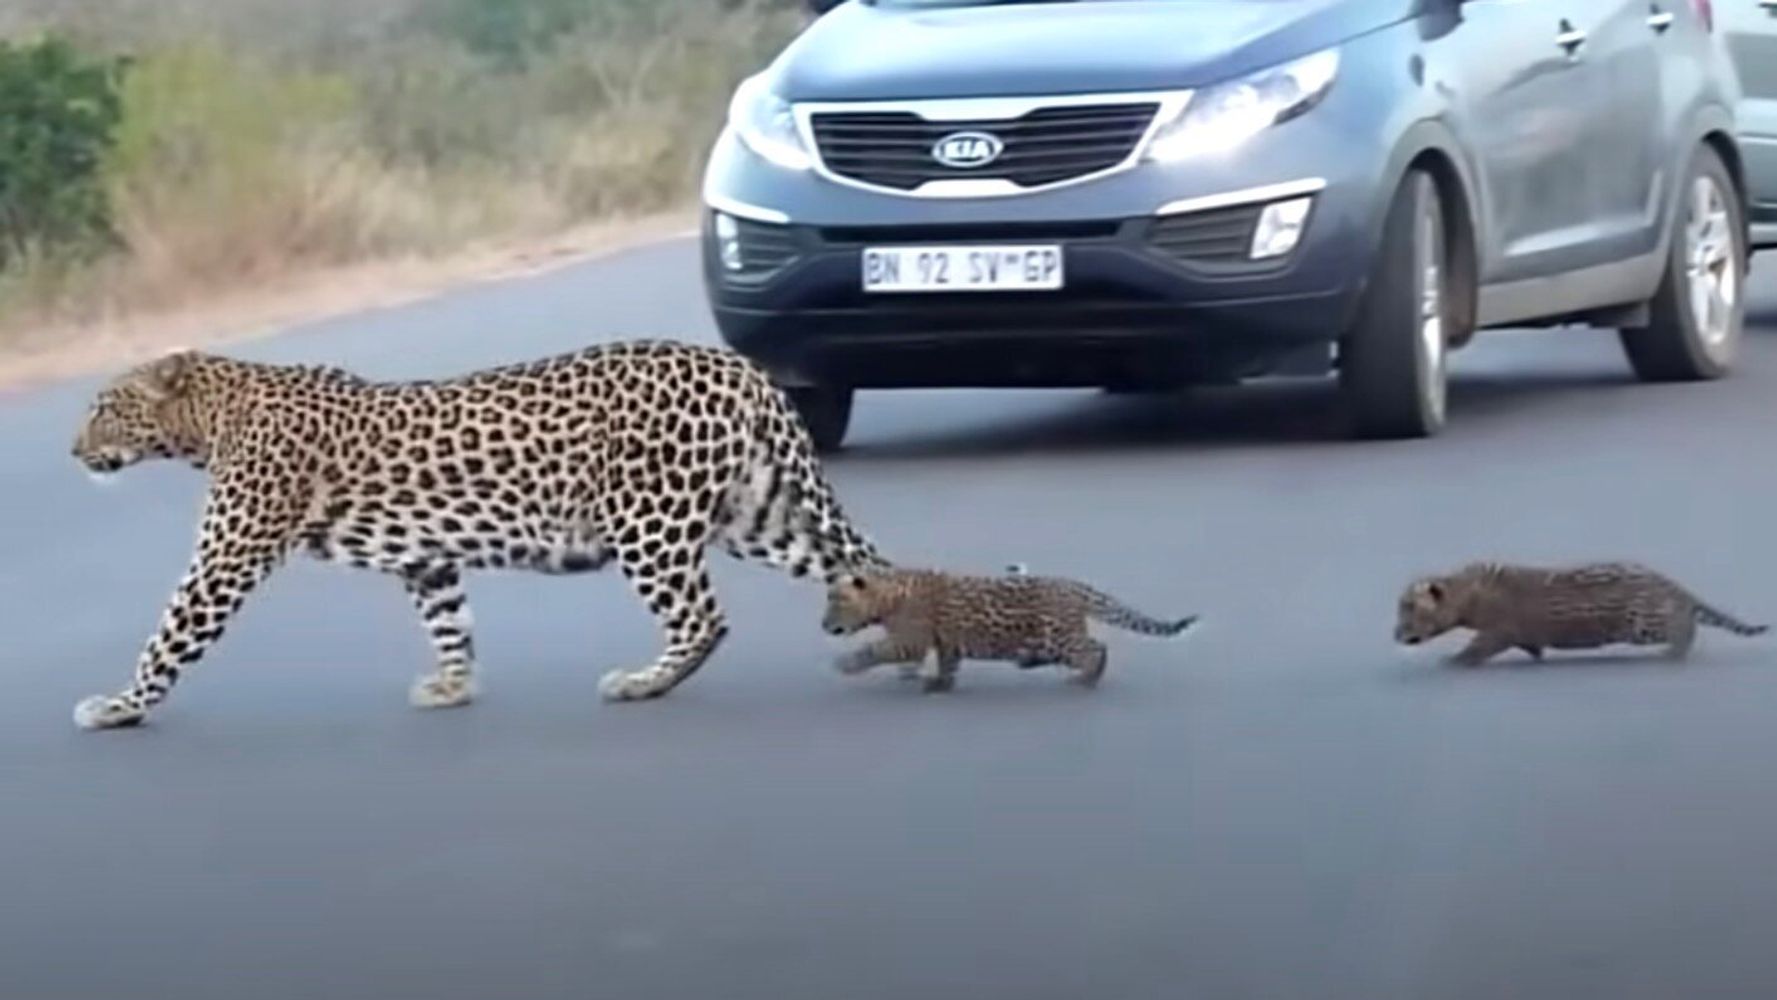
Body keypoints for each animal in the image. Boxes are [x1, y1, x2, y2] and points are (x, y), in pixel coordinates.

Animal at [69, 341, 888, 731]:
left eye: (105, 407)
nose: (73, 451)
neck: (210, 420)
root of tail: (737, 365)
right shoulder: (424, 557)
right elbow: (450, 623)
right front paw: (454, 687)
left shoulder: (227, 557)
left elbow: (170, 636)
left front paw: (119, 706)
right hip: (757, 513)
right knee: (856, 566)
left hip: (648, 521)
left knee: (701, 618)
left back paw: (642, 682)